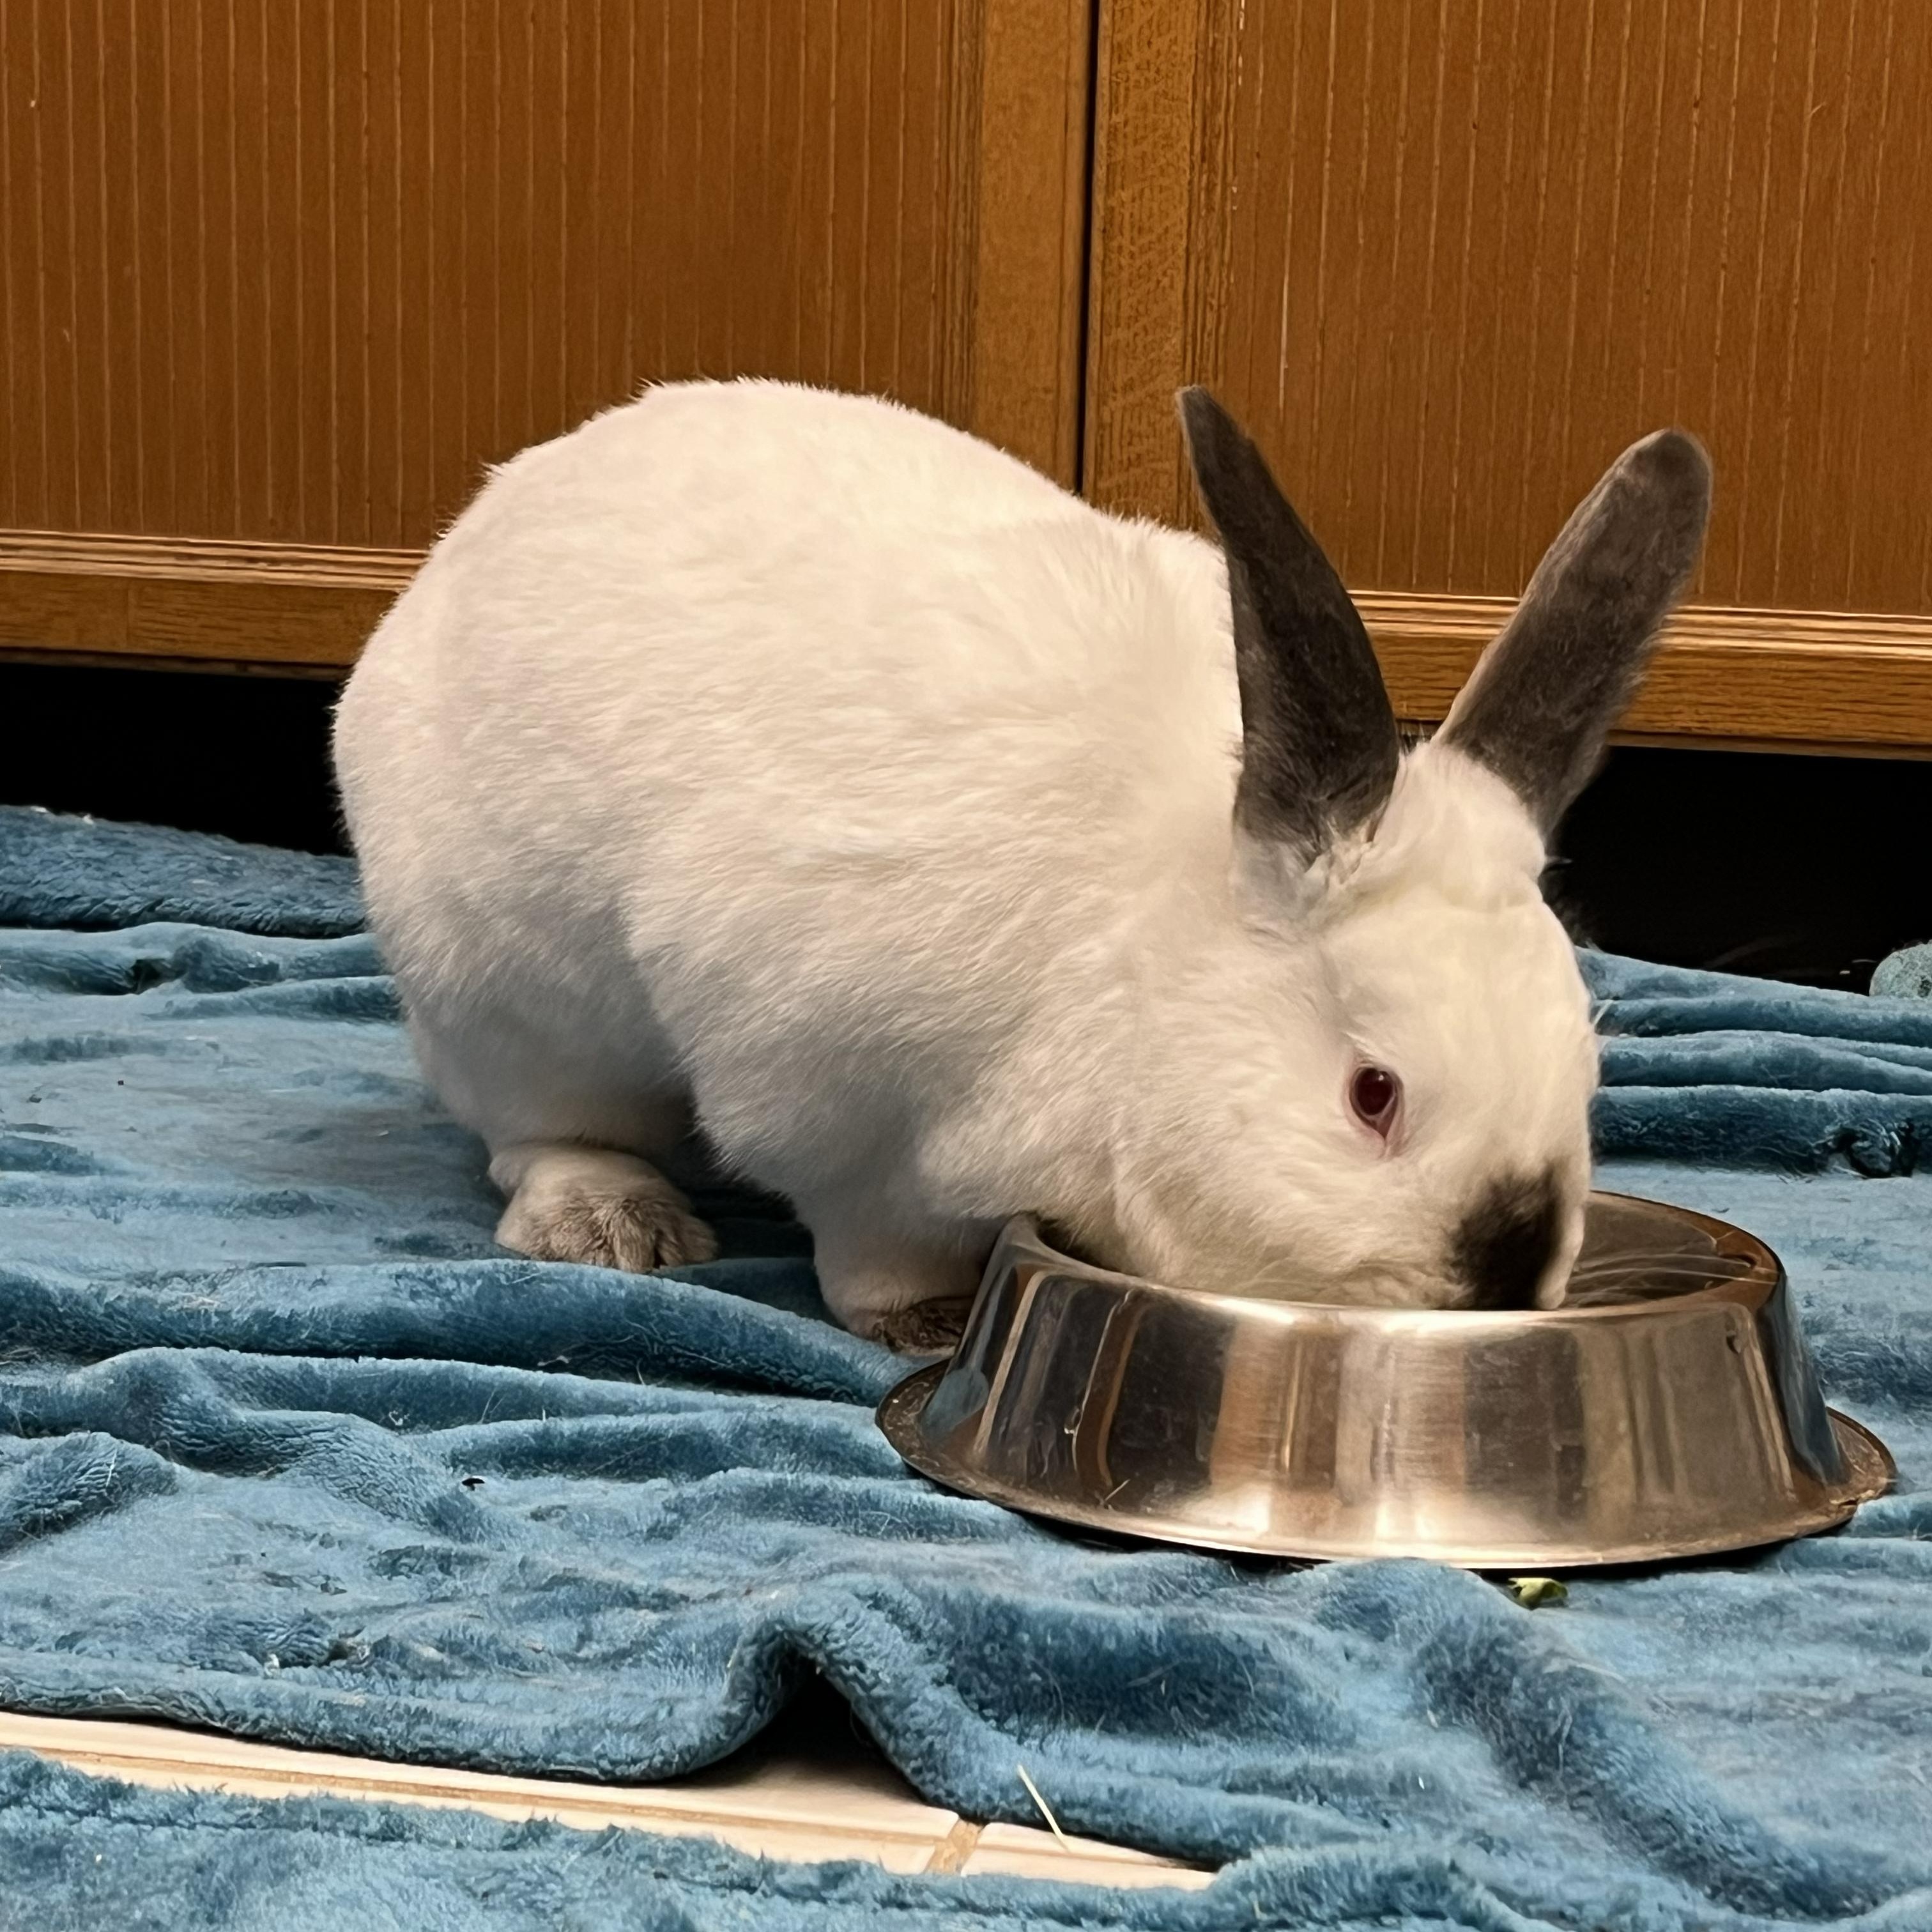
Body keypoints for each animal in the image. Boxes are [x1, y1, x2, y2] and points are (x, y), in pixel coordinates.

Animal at [333, 378, 1710, 1348]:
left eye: (1583, 1069)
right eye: (1373, 1094)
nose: (1503, 1276)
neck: (1139, 958)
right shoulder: (831, 1099)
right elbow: (871, 1232)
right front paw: (927, 1320)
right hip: (506, 997)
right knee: (536, 1128)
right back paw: (617, 1222)